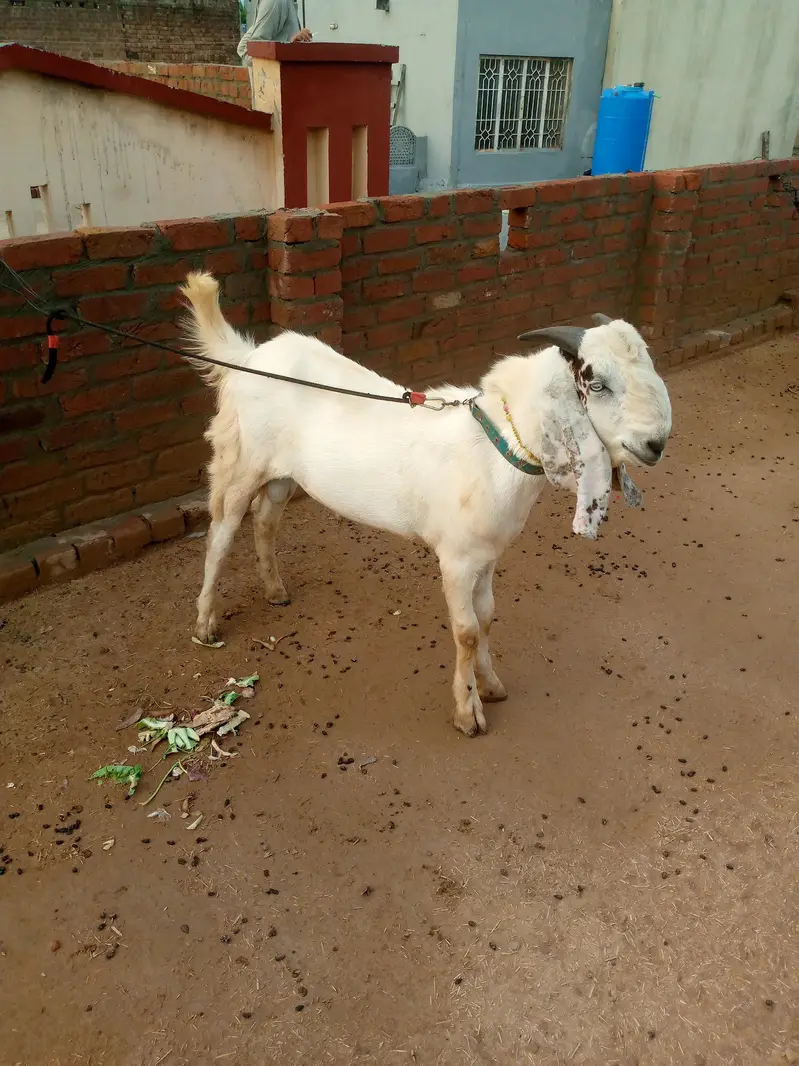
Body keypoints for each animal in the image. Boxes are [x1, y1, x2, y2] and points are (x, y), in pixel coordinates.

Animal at [180, 272, 672, 736]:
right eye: (596, 382)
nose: (656, 444)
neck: (495, 448)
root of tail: (247, 359)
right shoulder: (455, 557)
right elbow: (467, 632)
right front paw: (468, 712)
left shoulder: (486, 554)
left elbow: (487, 617)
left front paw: (491, 685)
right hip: (240, 461)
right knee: (221, 533)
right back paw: (205, 624)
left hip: (282, 474)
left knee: (265, 521)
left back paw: (275, 590)